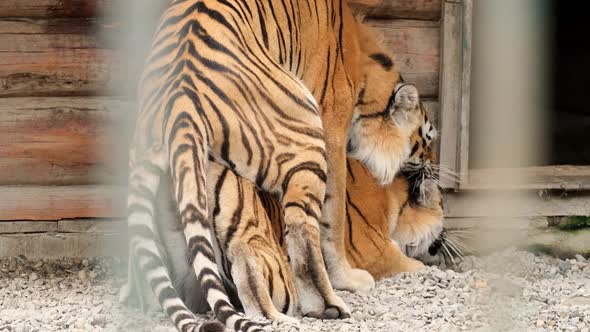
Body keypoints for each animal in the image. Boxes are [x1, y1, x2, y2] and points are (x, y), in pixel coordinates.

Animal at [121, 0, 426, 332]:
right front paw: (349, 279)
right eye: (427, 137)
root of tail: (180, 99)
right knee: (302, 234)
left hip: (145, 163)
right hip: (306, 131)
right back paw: (328, 305)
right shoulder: (333, 123)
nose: (428, 172)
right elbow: (333, 219)